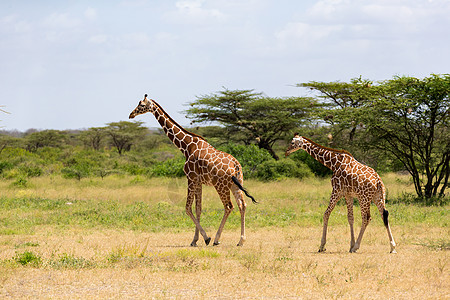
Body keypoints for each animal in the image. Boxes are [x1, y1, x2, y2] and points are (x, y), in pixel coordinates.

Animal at [130, 94, 256, 246]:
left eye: (141, 105)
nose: (131, 114)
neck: (186, 146)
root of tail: (236, 164)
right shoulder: (199, 181)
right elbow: (198, 209)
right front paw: (195, 240)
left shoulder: (191, 178)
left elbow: (187, 208)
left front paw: (206, 238)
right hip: (236, 183)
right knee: (242, 205)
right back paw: (241, 240)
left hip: (221, 185)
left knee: (229, 206)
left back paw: (217, 239)